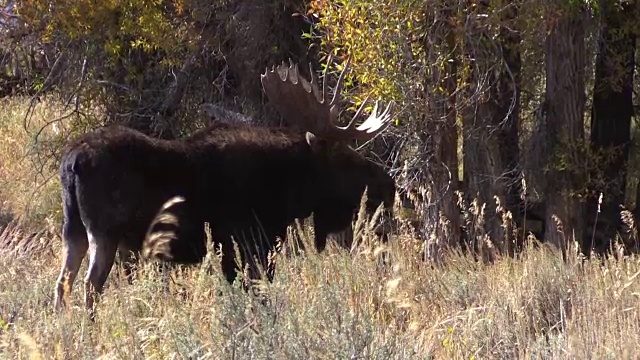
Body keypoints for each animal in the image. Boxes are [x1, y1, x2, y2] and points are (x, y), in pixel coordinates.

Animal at [53, 57, 396, 320]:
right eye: (343, 156)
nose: (387, 185)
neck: (288, 189)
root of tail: (71, 163)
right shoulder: (249, 245)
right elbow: (260, 298)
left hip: (73, 230)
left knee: (62, 283)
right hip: (104, 232)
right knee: (89, 285)